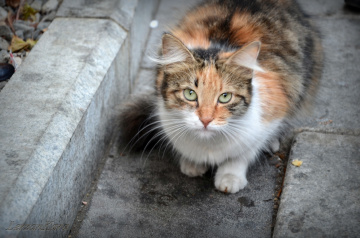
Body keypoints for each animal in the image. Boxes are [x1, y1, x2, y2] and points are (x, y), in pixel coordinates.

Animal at [119, 0, 322, 193]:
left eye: (225, 97)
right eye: (190, 94)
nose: (206, 120)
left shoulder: (271, 113)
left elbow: (243, 154)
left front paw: (230, 178)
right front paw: (192, 164)